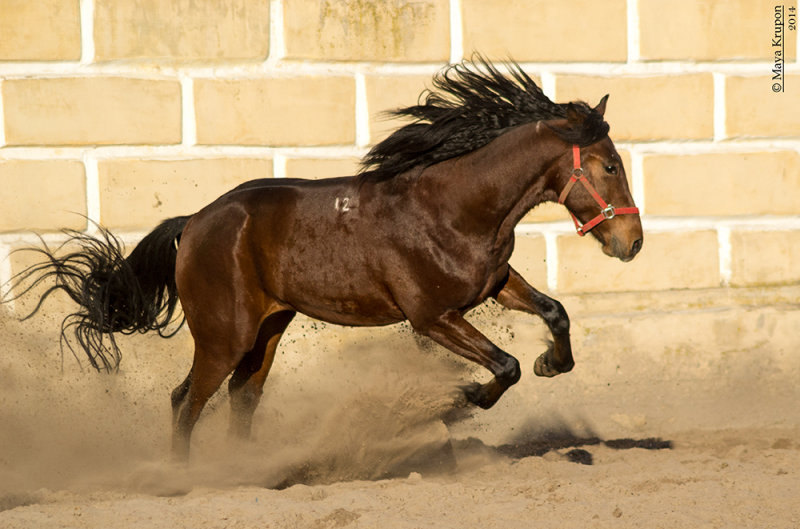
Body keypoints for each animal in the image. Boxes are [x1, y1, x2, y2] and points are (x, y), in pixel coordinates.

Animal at [6, 57, 644, 460]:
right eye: (610, 164)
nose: (632, 242)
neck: (455, 206)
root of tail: (194, 224)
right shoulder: (432, 317)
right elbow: (504, 366)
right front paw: (460, 400)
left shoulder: (493, 283)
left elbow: (555, 312)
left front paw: (551, 364)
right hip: (224, 335)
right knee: (186, 400)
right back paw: (186, 479)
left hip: (268, 329)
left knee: (242, 398)